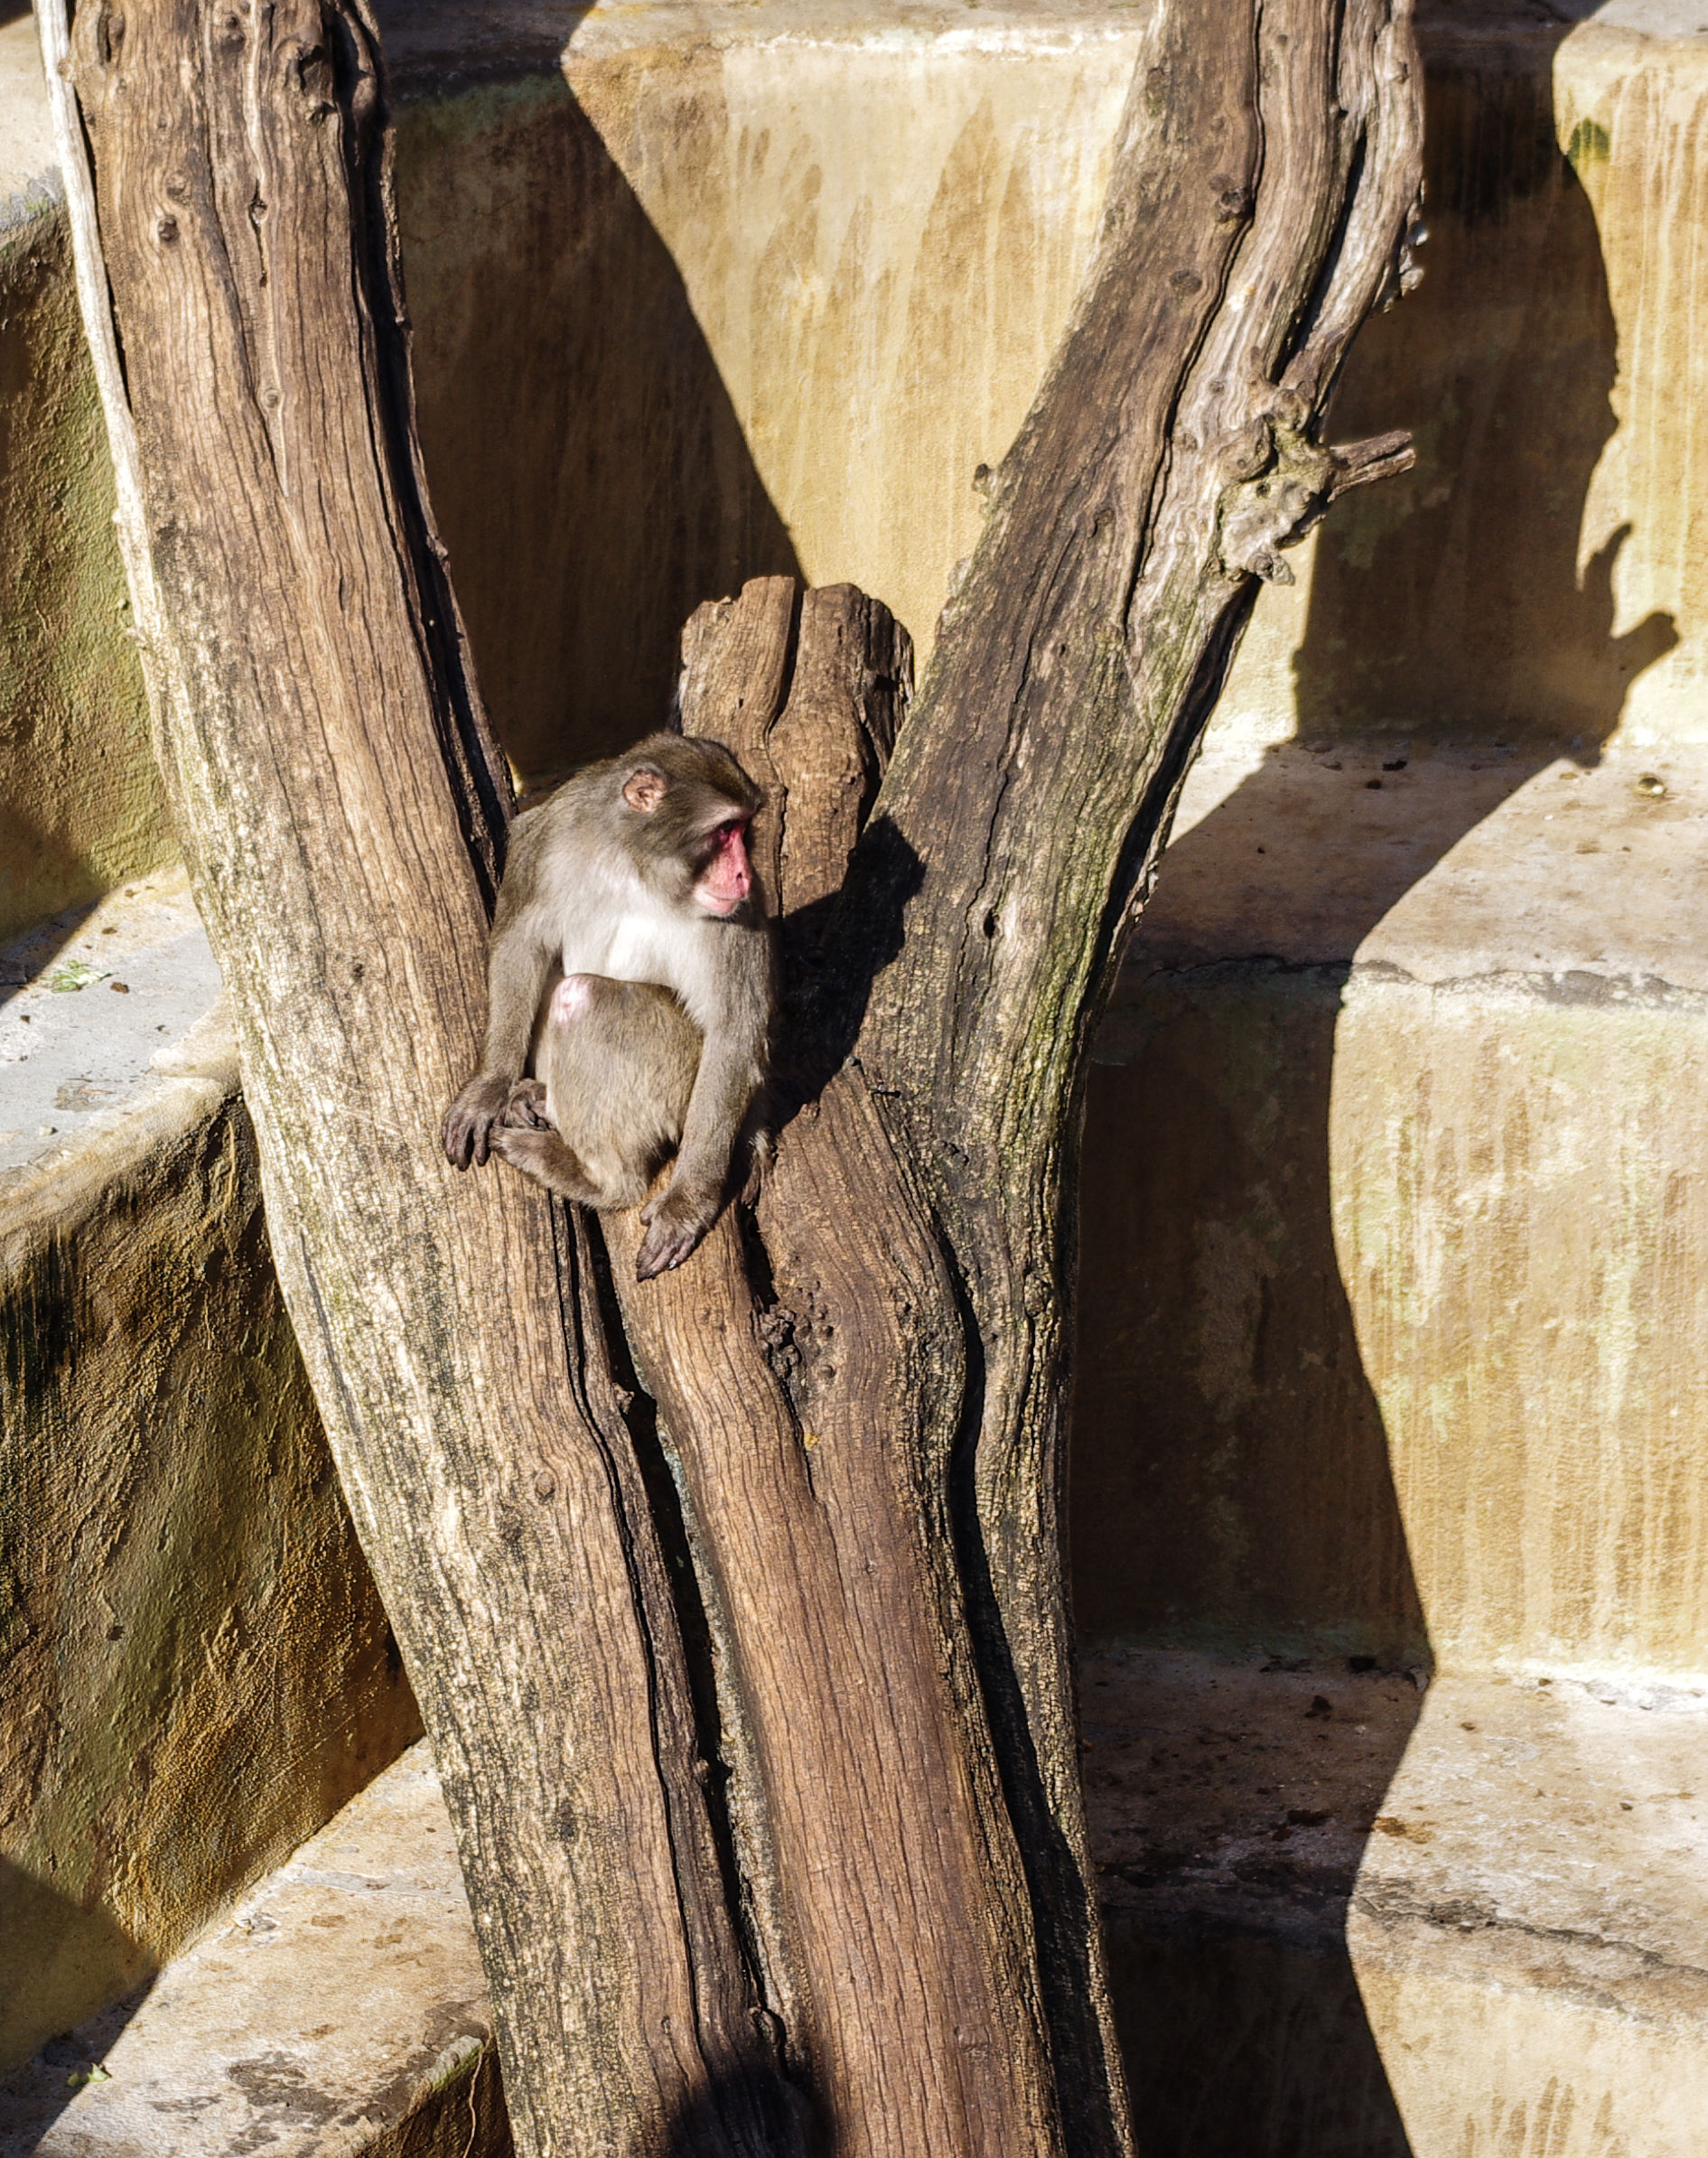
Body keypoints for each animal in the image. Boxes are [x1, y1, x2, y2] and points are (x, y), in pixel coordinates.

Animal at [442, 732, 772, 1281]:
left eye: (744, 830)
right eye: (726, 830)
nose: (745, 873)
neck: (633, 866)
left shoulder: (736, 915)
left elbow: (734, 1034)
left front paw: (686, 1204)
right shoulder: (548, 840)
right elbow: (521, 944)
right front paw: (490, 1086)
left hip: (678, 1084)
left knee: (587, 998)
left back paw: (598, 1181)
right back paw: (535, 1096)